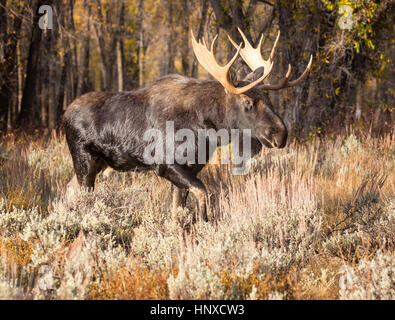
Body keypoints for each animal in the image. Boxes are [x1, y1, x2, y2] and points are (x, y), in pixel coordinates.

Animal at [64, 28, 312, 220]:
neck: (207, 128)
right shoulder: (166, 164)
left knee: (69, 189)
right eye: (247, 102)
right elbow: (203, 194)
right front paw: (204, 223)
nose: (281, 134)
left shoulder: (191, 167)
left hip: (96, 165)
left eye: (268, 99)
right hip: (84, 161)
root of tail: (64, 115)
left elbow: (178, 211)